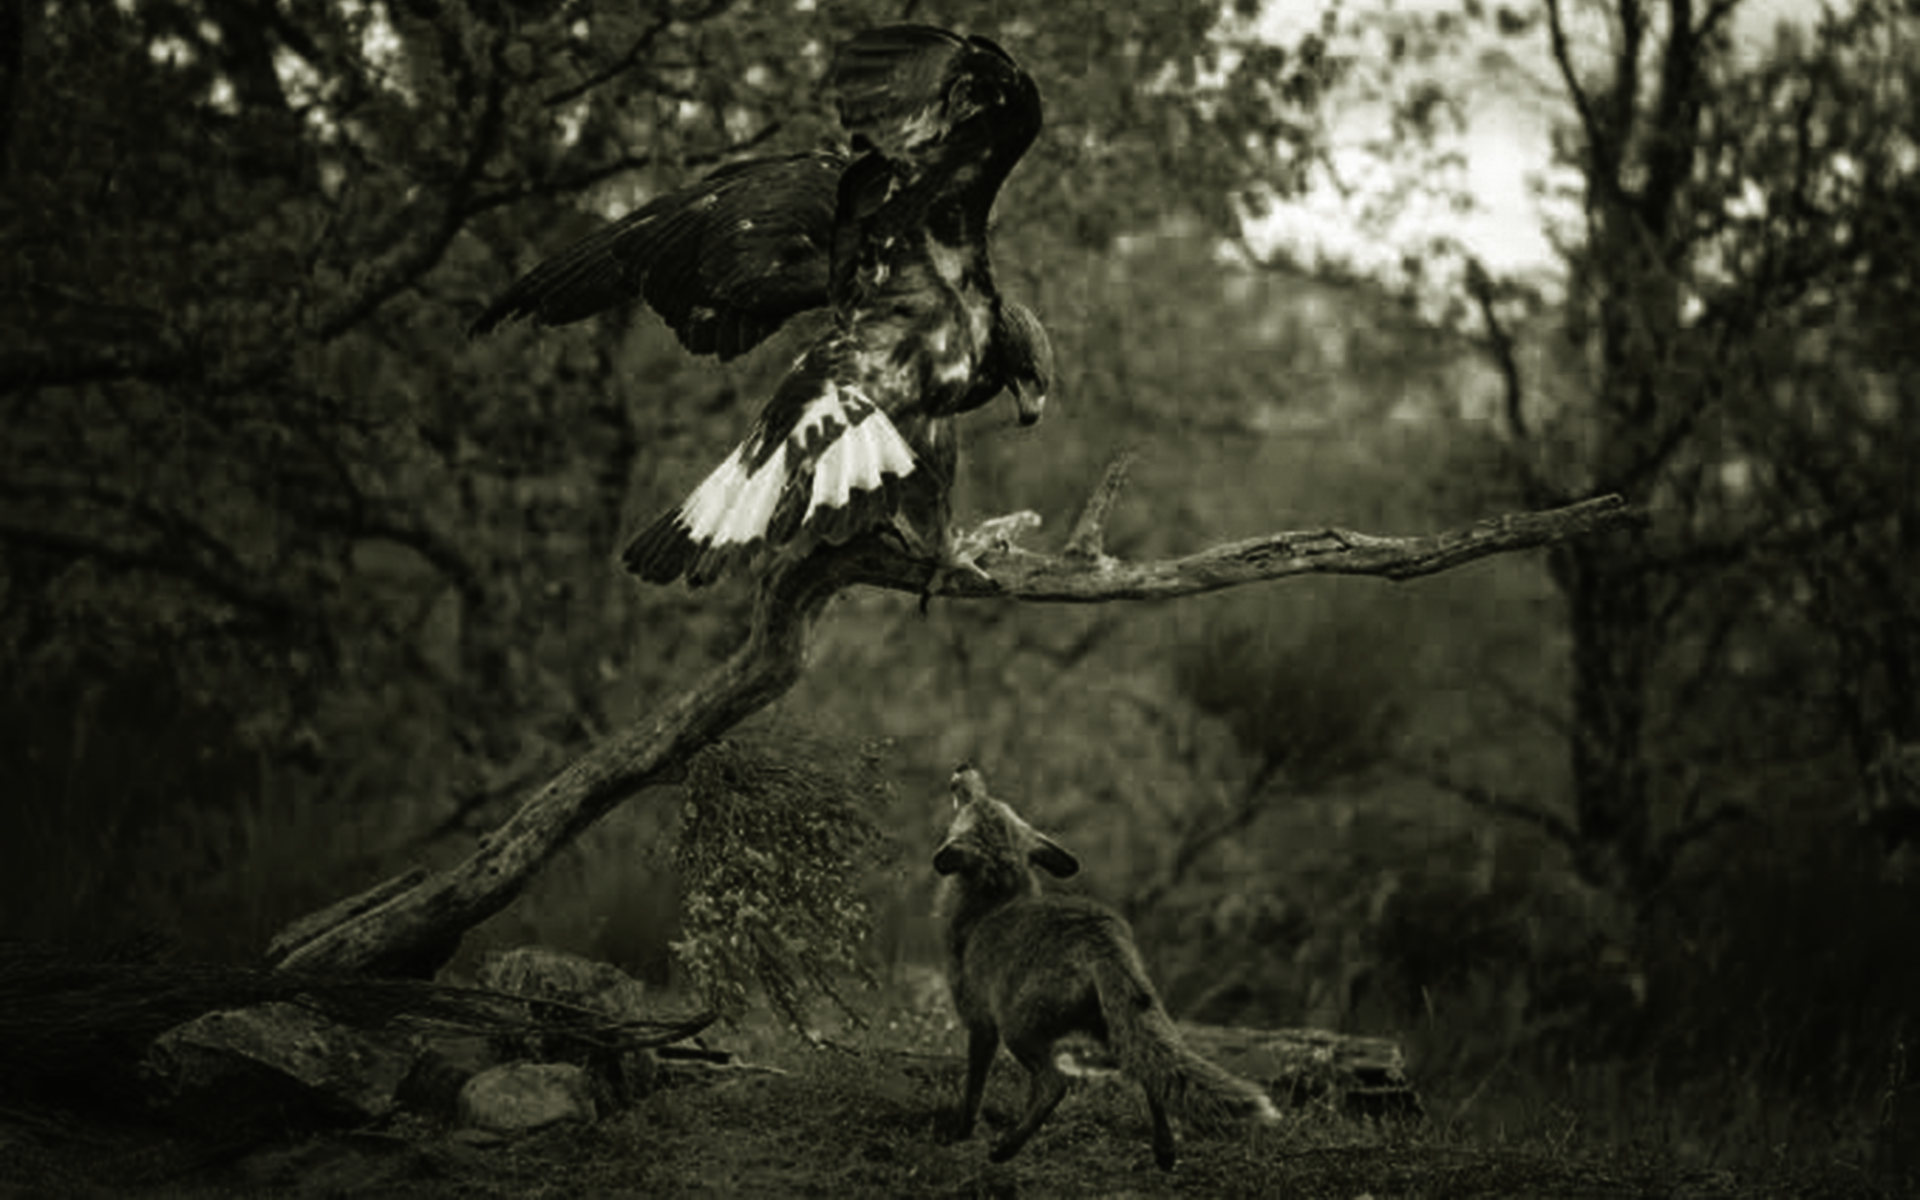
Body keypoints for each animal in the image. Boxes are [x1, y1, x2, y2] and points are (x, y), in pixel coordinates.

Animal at [933, 763, 1279, 1170]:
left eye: (974, 803)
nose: (963, 768)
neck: (993, 904)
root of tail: (1099, 934)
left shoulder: (981, 1021)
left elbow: (973, 1090)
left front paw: (960, 1135)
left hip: (1018, 1028)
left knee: (1055, 1085)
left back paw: (1006, 1149)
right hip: (1112, 1028)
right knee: (1150, 1074)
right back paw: (1165, 1152)